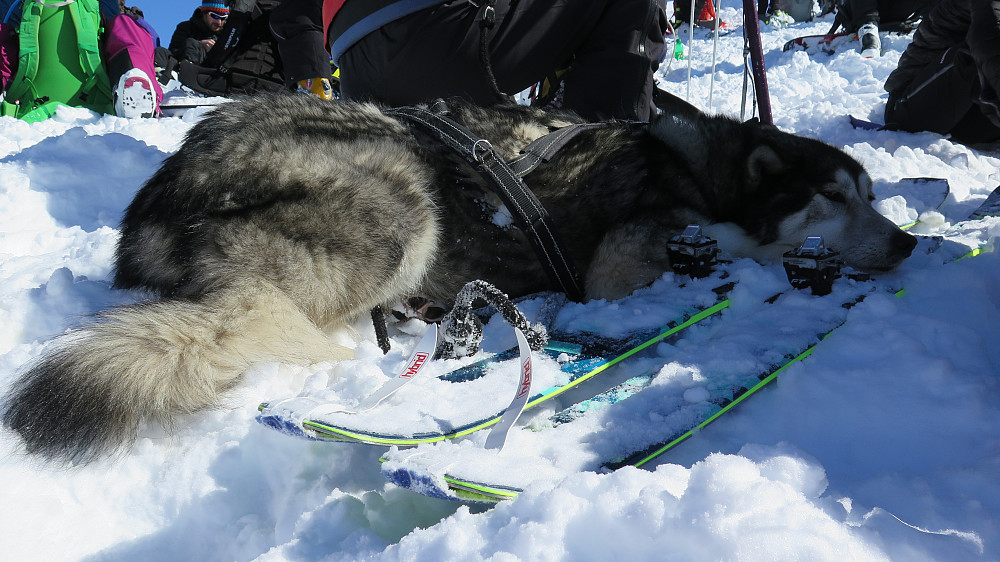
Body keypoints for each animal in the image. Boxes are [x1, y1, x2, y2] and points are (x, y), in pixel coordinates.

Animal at [0, 93, 916, 460]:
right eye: (833, 197)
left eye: (870, 194)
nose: (907, 244)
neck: (702, 175)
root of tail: (164, 198)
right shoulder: (626, 262)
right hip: (400, 196)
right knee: (272, 324)